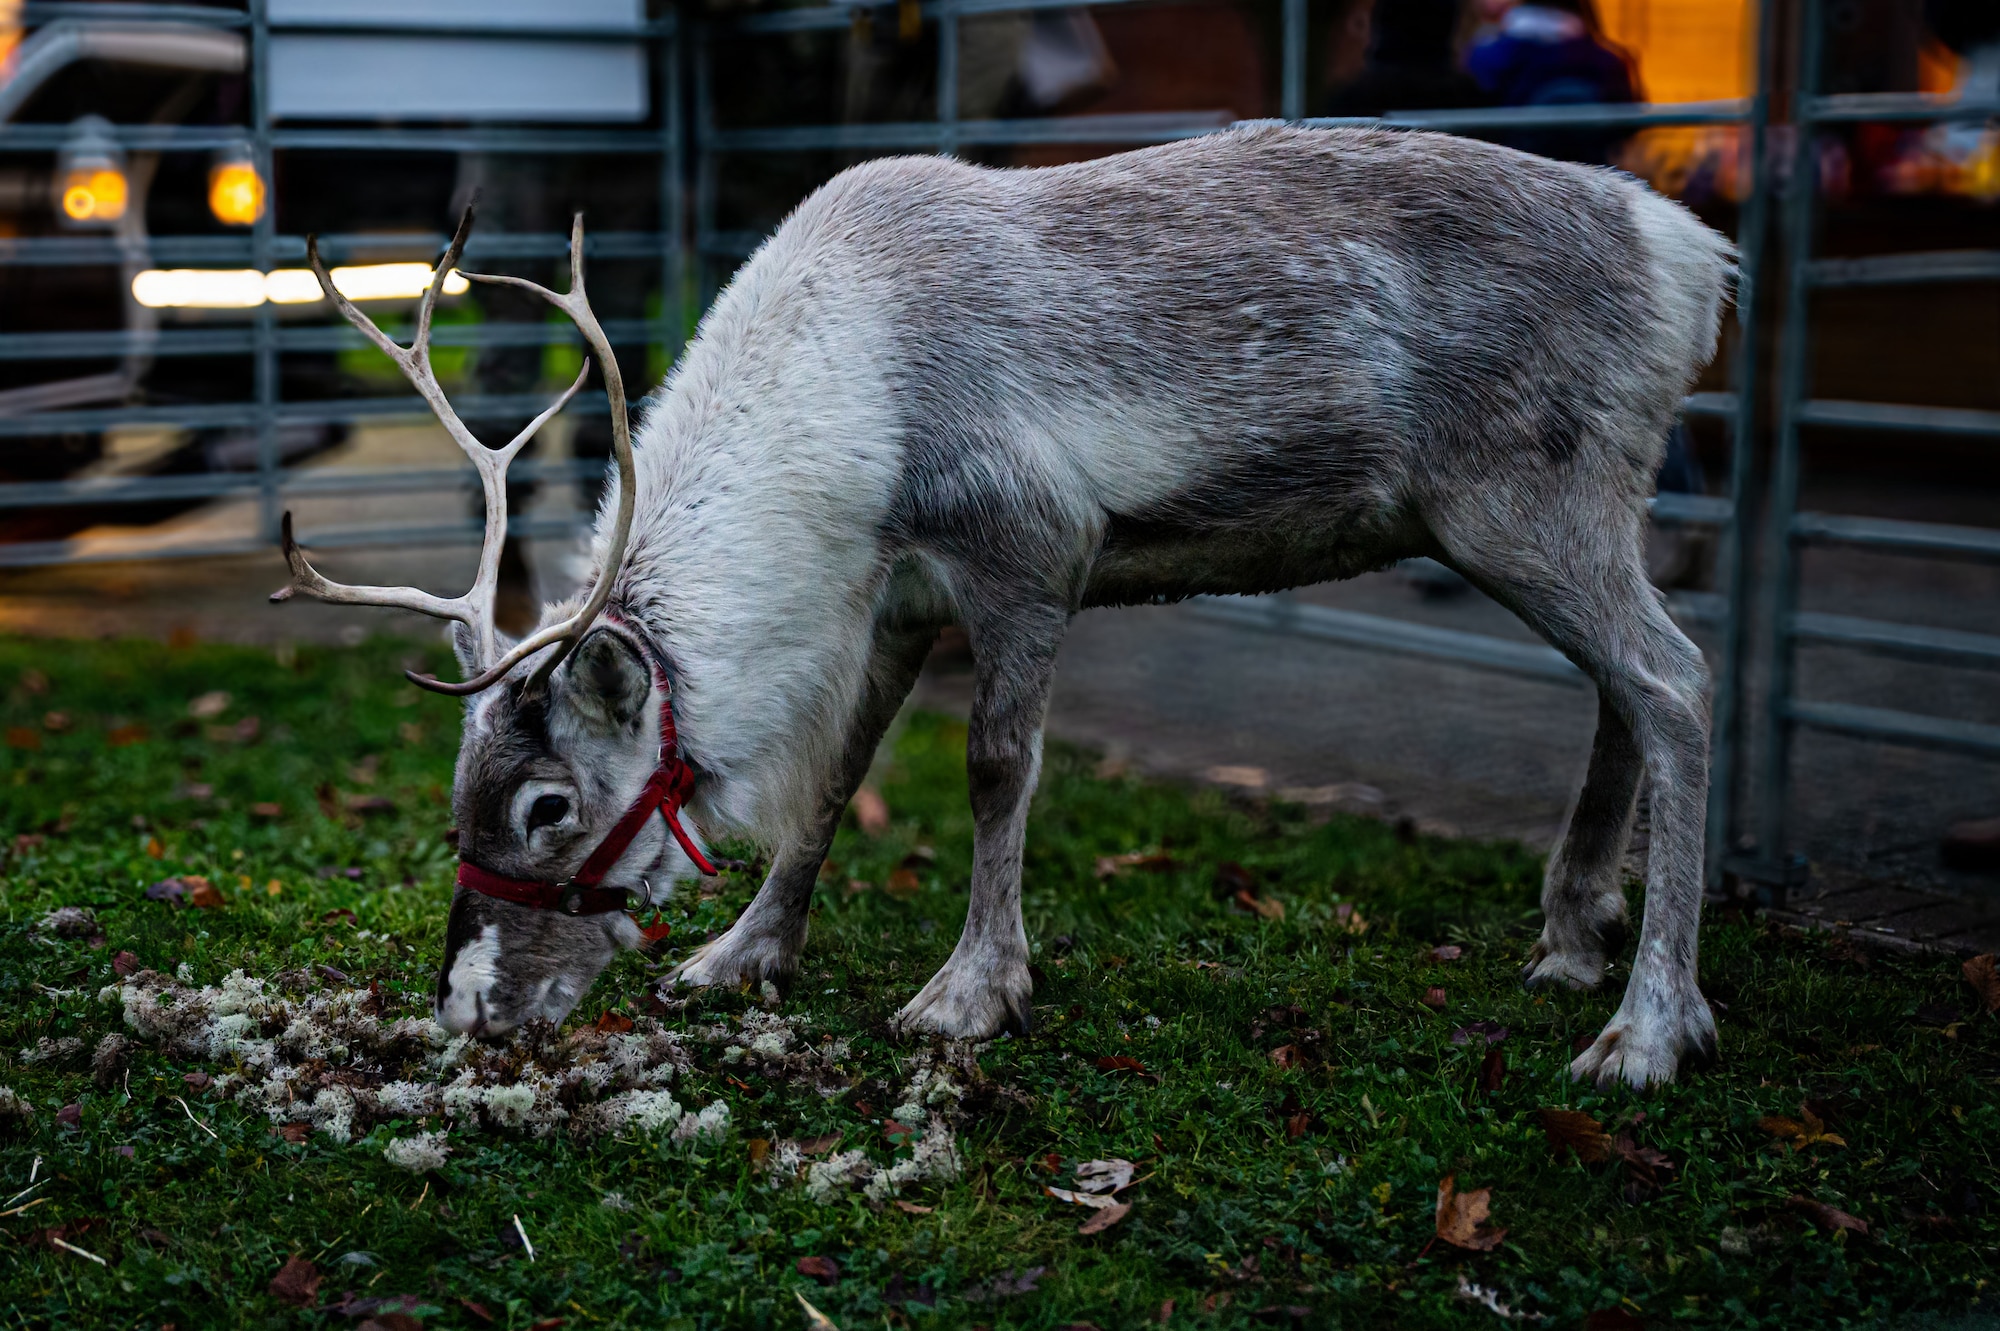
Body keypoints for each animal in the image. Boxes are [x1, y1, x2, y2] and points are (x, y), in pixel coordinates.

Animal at [274, 123, 1735, 1089]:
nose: (469, 1009)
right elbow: (831, 778)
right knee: (1624, 681)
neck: (849, 417)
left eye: (546, 804)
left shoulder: (1032, 544)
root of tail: (1694, 257)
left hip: (1519, 496)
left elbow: (993, 766)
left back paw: (1645, 1027)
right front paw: (742, 953)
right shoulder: (898, 596)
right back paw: (1571, 934)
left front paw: (971, 991)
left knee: (1674, 678)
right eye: (458, 791)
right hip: (1580, 505)